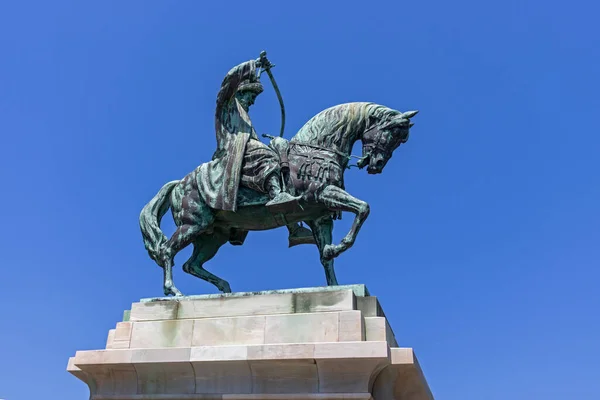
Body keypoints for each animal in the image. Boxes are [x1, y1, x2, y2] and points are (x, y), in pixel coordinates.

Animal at [140, 102, 418, 296]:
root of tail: (179, 183)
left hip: (213, 235)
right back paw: (174, 292)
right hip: (193, 224)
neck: (315, 149)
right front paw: (339, 246)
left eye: (401, 140)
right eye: (391, 133)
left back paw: (224, 288)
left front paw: (334, 284)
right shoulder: (324, 194)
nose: (376, 165)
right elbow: (363, 208)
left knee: (191, 264)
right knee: (167, 250)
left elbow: (325, 257)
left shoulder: (320, 216)